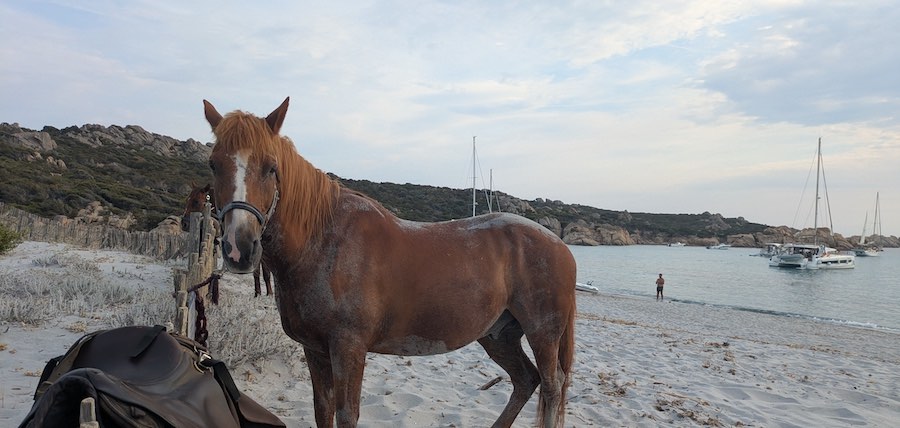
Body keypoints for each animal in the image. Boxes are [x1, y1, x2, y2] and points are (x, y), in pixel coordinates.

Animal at [203, 97, 577, 428]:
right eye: (213, 164)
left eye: (271, 167)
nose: (239, 247)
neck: (324, 243)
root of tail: (560, 246)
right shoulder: (315, 350)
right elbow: (322, 412)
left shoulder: (348, 349)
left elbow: (346, 415)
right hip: (499, 335)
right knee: (526, 381)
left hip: (543, 333)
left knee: (551, 386)